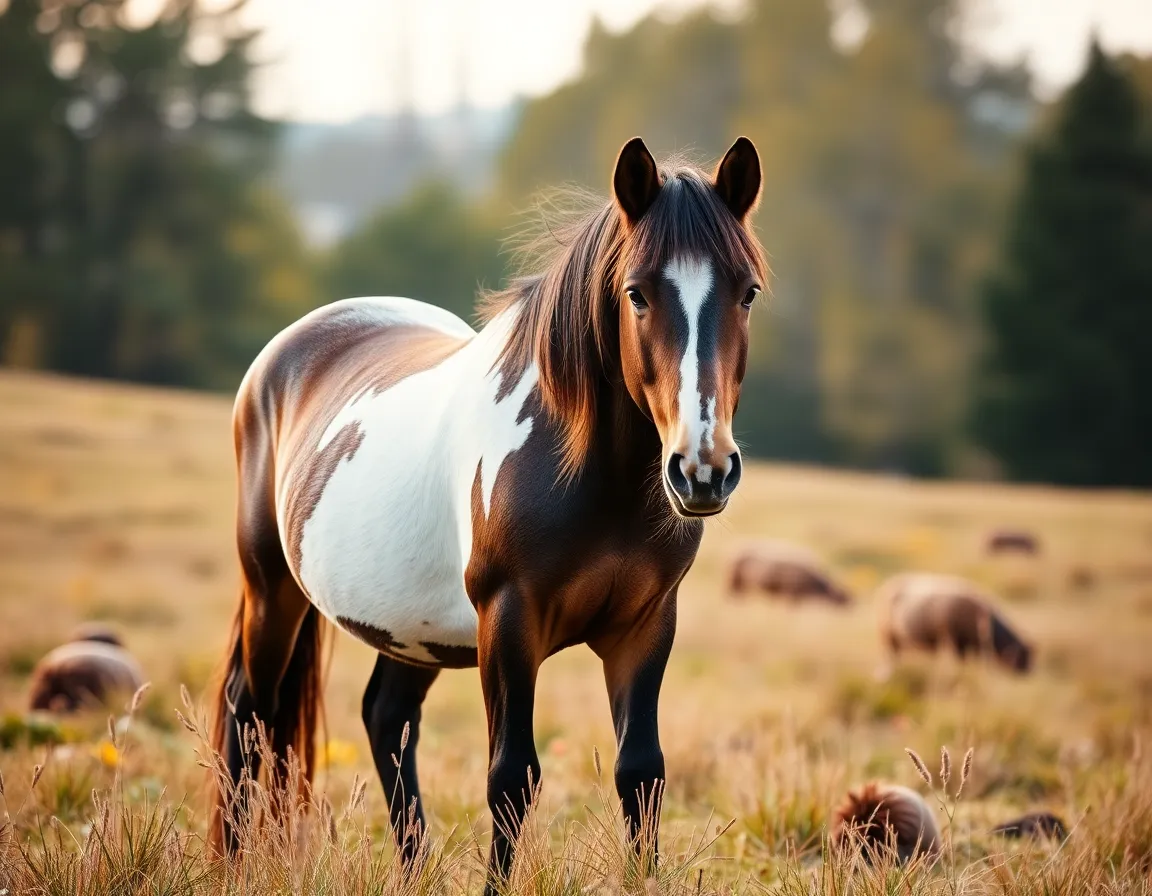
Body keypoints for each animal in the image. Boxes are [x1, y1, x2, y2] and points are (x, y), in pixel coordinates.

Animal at [208, 136, 766, 892]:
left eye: (747, 292)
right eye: (637, 293)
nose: (701, 468)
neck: (591, 475)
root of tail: (286, 351)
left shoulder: (645, 626)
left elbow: (641, 774)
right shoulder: (508, 620)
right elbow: (512, 777)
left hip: (410, 627)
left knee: (387, 718)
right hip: (273, 590)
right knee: (250, 713)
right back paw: (232, 865)